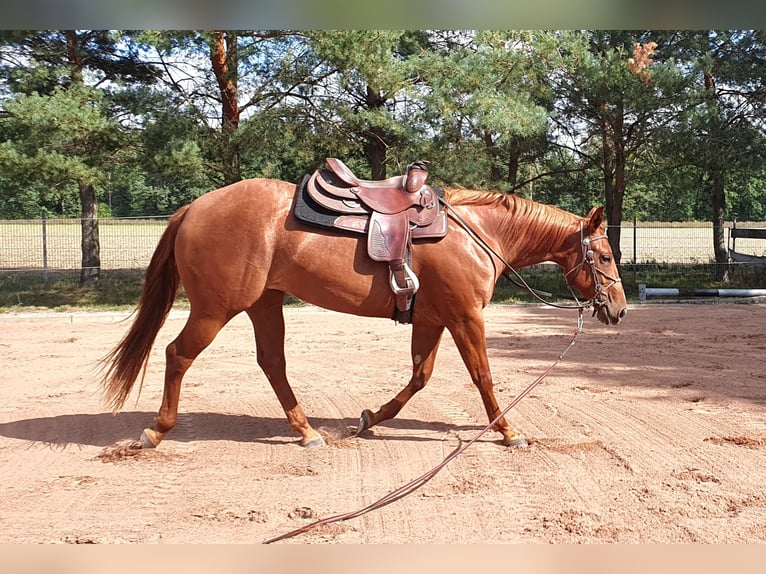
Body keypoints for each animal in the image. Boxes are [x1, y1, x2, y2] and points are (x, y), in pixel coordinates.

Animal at [100, 176, 627, 450]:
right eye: (604, 257)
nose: (619, 310)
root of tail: (193, 208)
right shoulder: (464, 317)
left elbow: (420, 376)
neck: (478, 233)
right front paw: (508, 430)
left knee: (272, 363)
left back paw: (307, 431)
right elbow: (482, 375)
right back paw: (156, 430)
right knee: (178, 354)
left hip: (264, 304)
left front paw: (371, 418)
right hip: (216, 308)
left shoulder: (432, 319)